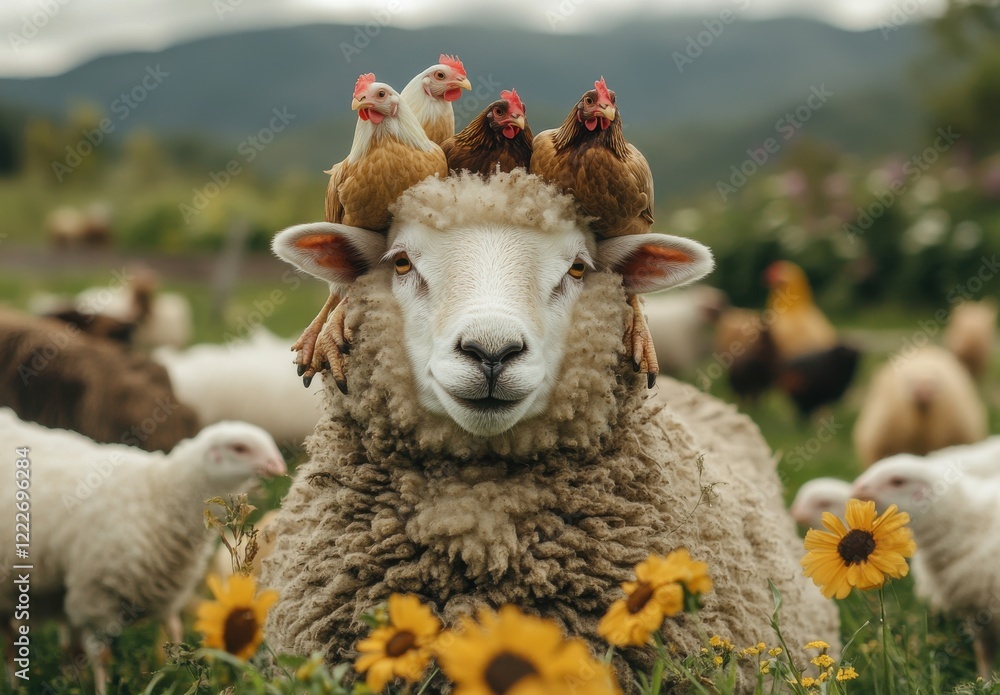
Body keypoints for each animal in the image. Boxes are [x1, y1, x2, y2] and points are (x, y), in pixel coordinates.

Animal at [0, 409, 286, 694]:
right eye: (240, 448)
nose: (278, 467)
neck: (160, 494)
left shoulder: (166, 590)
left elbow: (175, 632)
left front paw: (180, 679)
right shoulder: (94, 596)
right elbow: (100, 655)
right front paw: (103, 689)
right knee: (11, 641)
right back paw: (15, 684)